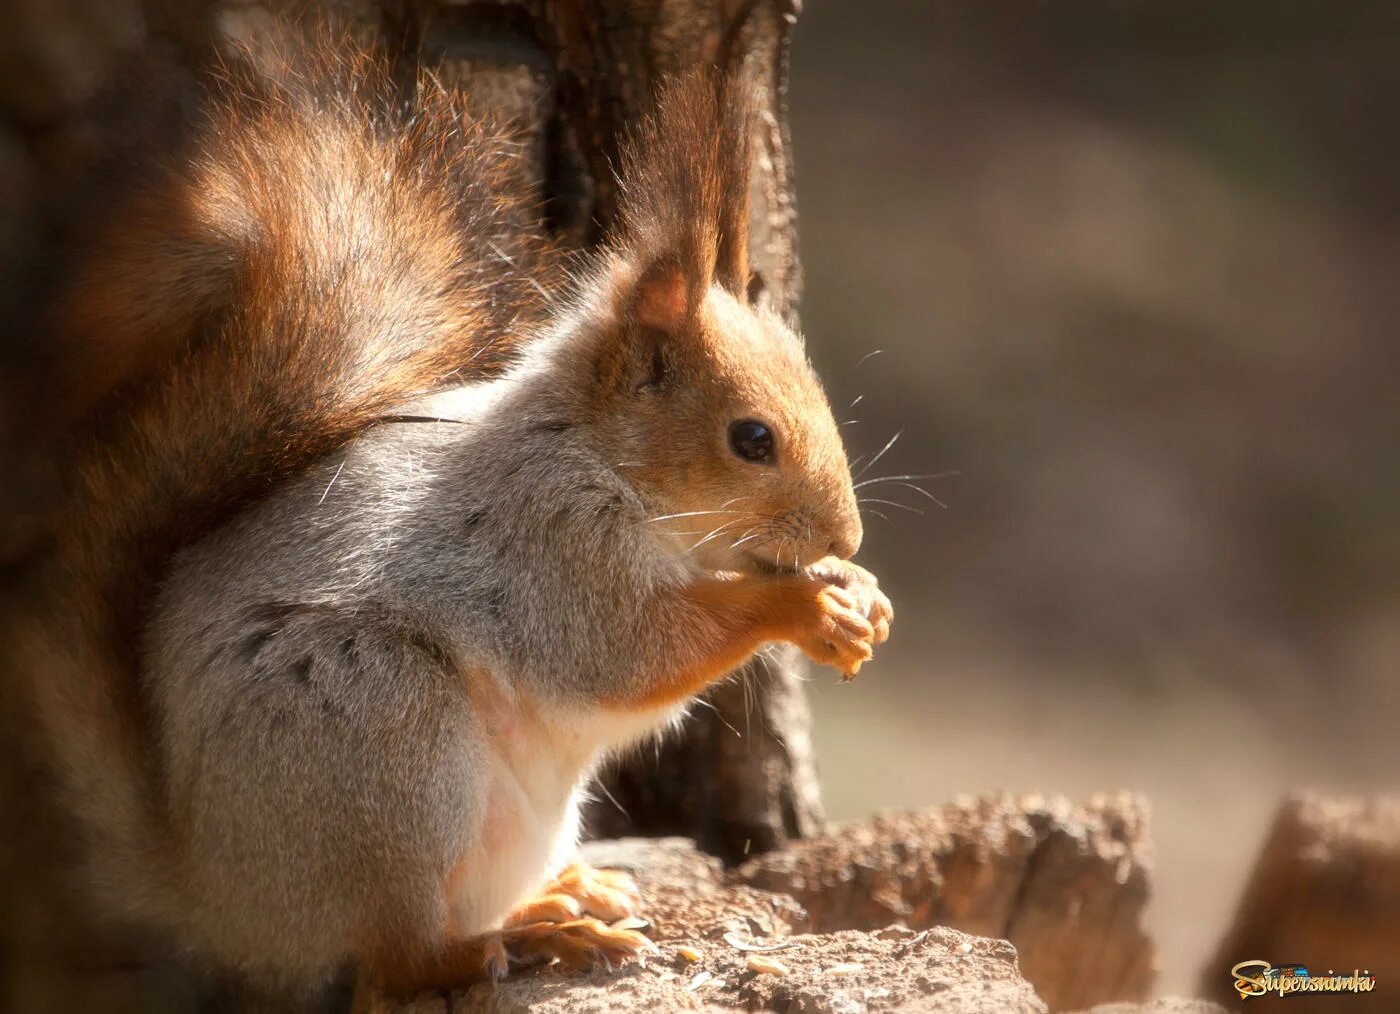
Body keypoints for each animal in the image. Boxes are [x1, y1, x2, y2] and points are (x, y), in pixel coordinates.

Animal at [5, 21, 890, 997]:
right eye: (751, 438)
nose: (846, 534)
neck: (597, 457)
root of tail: (217, 896)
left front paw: (862, 595)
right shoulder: (542, 545)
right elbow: (630, 652)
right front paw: (804, 605)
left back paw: (558, 901)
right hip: (379, 736)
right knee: (397, 961)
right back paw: (524, 942)